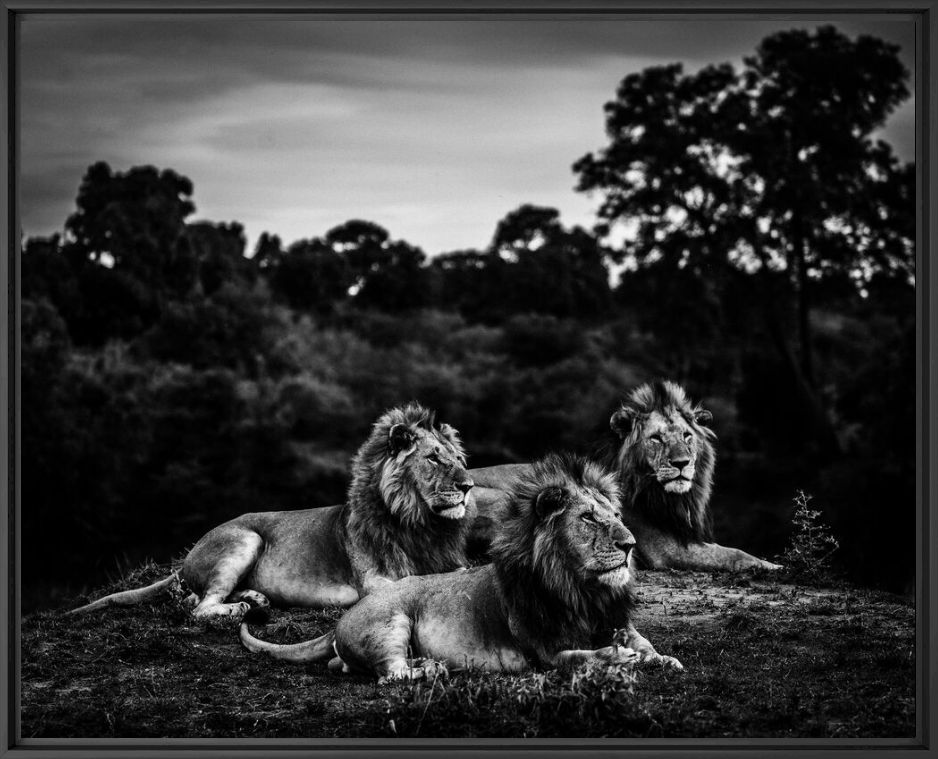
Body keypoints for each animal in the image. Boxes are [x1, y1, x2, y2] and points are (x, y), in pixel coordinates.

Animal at [67, 400, 476, 620]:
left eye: (457, 459)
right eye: (433, 458)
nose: (468, 486)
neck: (421, 523)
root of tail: (188, 557)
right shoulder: (373, 583)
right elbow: (412, 584)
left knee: (193, 599)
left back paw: (255, 598)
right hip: (244, 540)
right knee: (198, 608)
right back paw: (241, 609)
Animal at [238, 454, 684, 680]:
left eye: (616, 514)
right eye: (589, 518)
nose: (630, 545)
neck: (583, 589)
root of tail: (341, 620)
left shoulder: (619, 622)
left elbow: (648, 646)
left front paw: (660, 659)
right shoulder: (542, 653)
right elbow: (579, 657)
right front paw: (616, 658)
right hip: (390, 621)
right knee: (390, 674)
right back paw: (430, 669)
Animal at [468, 382, 784, 572]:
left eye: (687, 436)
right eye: (656, 438)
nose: (681, 463)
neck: (667, 496)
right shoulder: (665, 550)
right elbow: (734, 553)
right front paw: (777, 567)